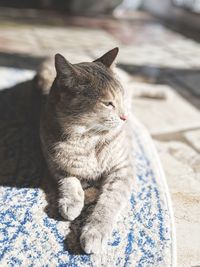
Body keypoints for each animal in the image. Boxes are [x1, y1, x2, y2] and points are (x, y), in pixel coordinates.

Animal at [38, 48, 135, 255]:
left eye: (121, 97)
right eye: (107, 103)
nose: (124, 117)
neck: (88, 139)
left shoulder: (123, 169)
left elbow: (109, 202)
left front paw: (94, 232)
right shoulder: (54, 163)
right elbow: (69, 180)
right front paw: (71, 202)